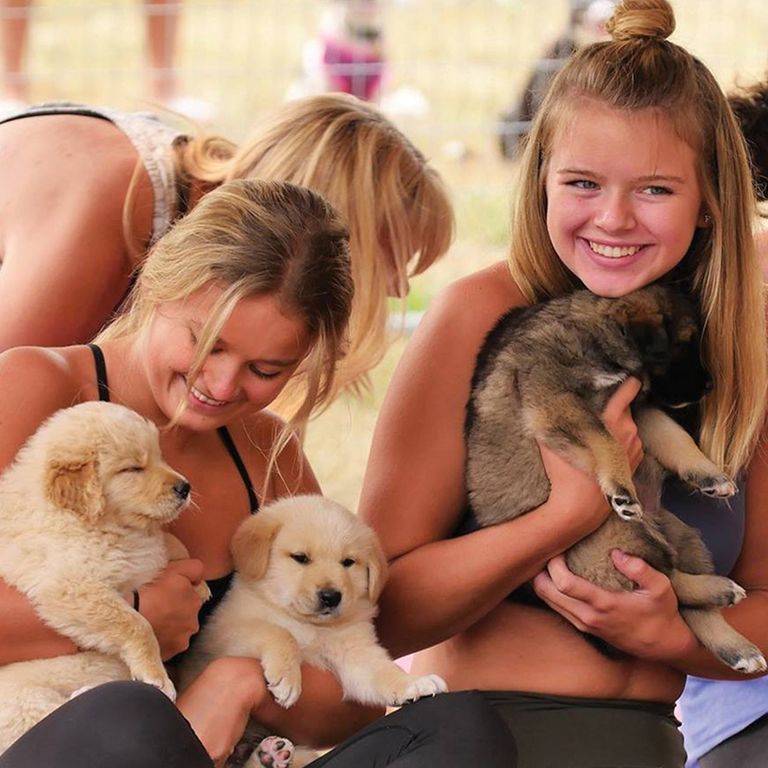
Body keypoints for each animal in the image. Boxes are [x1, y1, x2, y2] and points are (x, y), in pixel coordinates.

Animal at [0, 402, 195, 756]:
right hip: (19, 700)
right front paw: (155, 675)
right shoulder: (71, 587)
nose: (185, 488)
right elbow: (136, 624)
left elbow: (165, 543)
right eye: (133, 468)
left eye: (159, 457)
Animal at [178, 496, 448, 712]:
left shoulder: (355, 651)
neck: (309, 626)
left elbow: (381, 670)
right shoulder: (220, 637)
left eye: (348, 562)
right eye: (301, 558)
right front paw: (287, 678)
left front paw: (413, 683)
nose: (331, 596)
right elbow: (278, 632)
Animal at [464, 284, 764, 672]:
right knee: (664, 583)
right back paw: (721, 590)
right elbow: (607, 439)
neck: (595, 335)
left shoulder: (640, 407)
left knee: (680, 595)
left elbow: (675, 437)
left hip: (684, 535)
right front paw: (622, 488)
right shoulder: (558, 400)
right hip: (611, 541)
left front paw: (709, 475)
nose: (710, 385)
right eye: (684, 343)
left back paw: (737, 644)